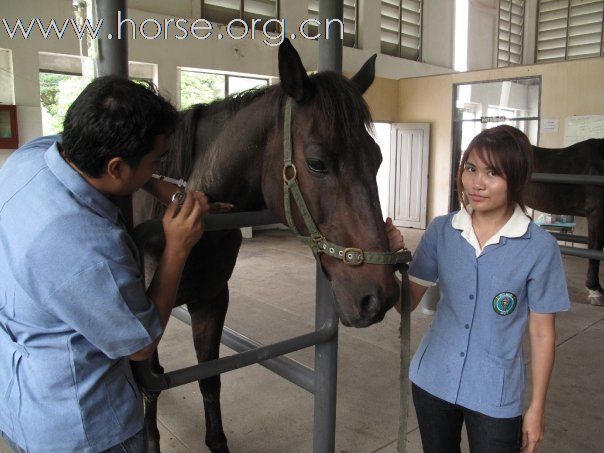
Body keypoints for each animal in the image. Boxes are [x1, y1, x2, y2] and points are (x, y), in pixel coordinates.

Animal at [133, 38, 396, 452]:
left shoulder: (210, 300)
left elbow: (209, 378)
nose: (379, 298)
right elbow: (150, 382)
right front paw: (150, 437)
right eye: (317, 162)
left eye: (378, 157)